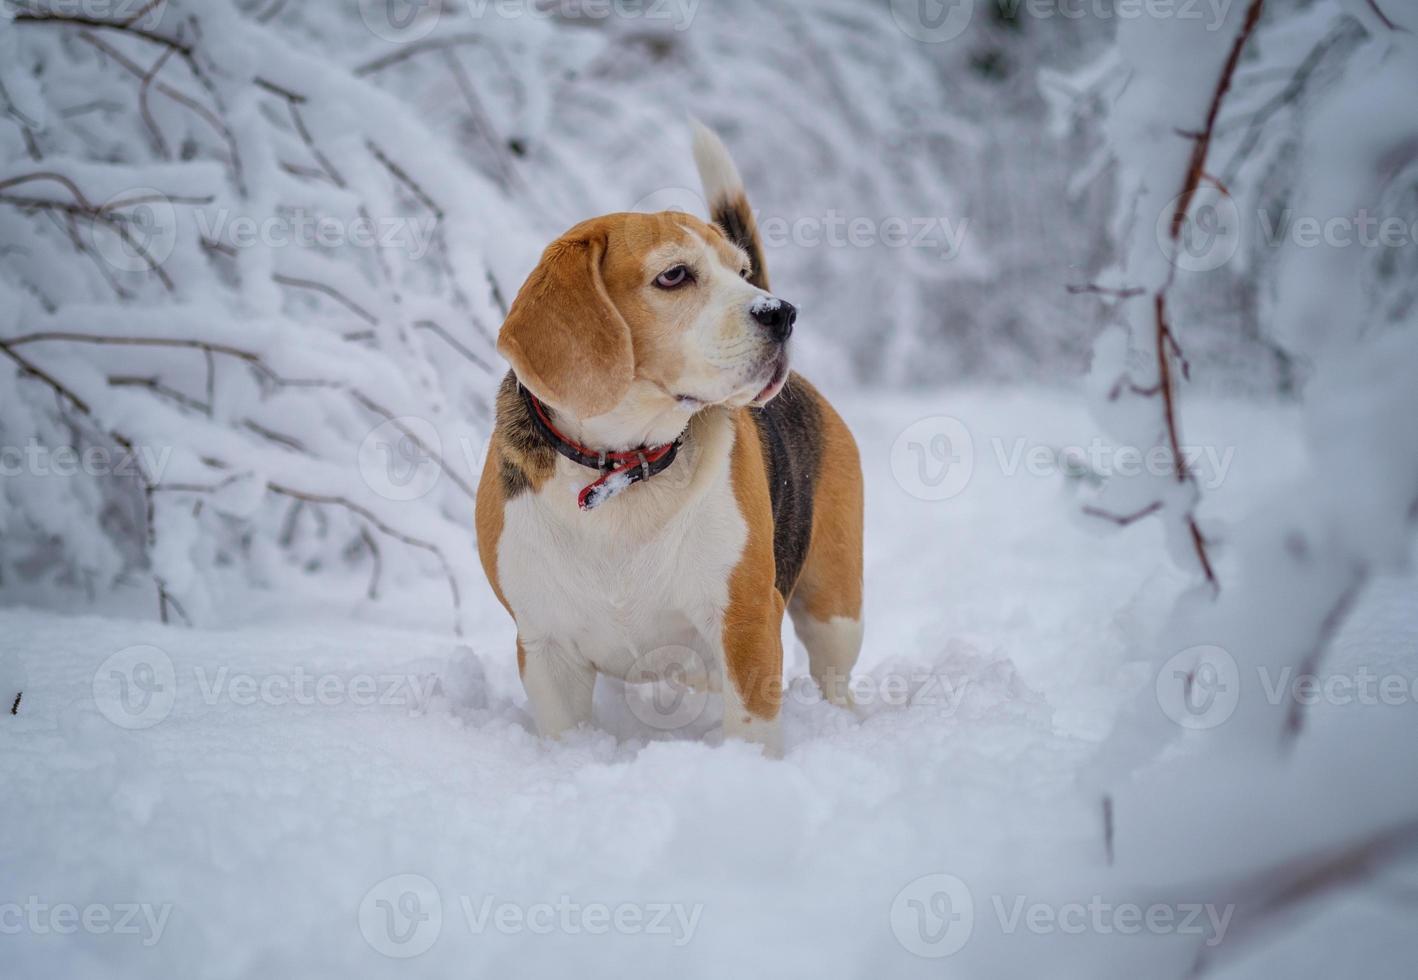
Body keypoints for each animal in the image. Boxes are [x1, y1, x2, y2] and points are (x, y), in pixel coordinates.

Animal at [476, 122, 856, 748]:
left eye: (741, 273)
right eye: (674, 275)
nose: (783, 313)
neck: (624, 465)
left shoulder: (746, 619)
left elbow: (751, 727)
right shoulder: (545, 646)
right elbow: (565, 733)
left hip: (835, 606)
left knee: (835, 674)